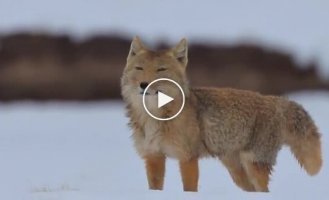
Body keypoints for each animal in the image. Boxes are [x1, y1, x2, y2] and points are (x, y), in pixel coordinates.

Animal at [120, 36, 320, 192]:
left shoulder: (188, 158)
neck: (154, 117)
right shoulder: (153, 157)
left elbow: (189, 188)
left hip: (253, 167)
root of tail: (274, 100)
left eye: (161, 70)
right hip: (238, 173)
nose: (144, 84)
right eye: (139, 69)